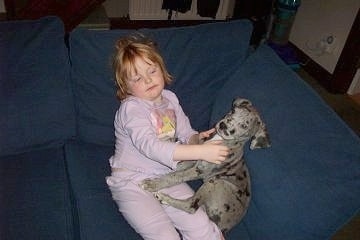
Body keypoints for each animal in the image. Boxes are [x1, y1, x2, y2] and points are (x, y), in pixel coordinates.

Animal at [139, 97, 268, 232]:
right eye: (233, 111)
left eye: (244, 126)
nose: (223, 125)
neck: (219, 140)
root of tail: (221, 227)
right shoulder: (194, 157)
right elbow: (178, 167)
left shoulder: (198, 170)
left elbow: (176, 176)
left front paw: (152, 184)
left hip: (216, 182)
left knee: (191, 206)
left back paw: (164, 198)